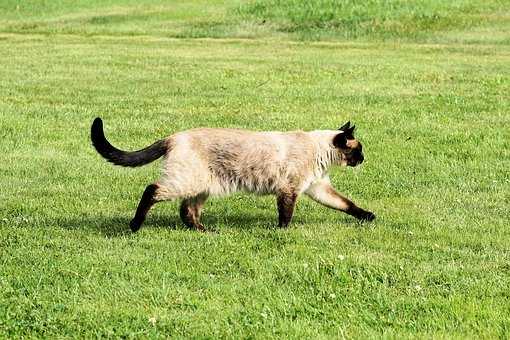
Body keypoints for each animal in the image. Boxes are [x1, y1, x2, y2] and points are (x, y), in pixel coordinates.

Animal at [90, 117, 374, 231]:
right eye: (359, 149)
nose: (364, 159)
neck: (319, 152)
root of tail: (172, 136)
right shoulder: (289, 190)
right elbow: (286, 215)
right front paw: (282, 232)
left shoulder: (318, 188)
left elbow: (347, 204)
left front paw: (368, 217)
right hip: (185, 182)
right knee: (152, 190)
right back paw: (135, 226)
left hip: (201, 186)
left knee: (186, 211)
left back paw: (205, 231)